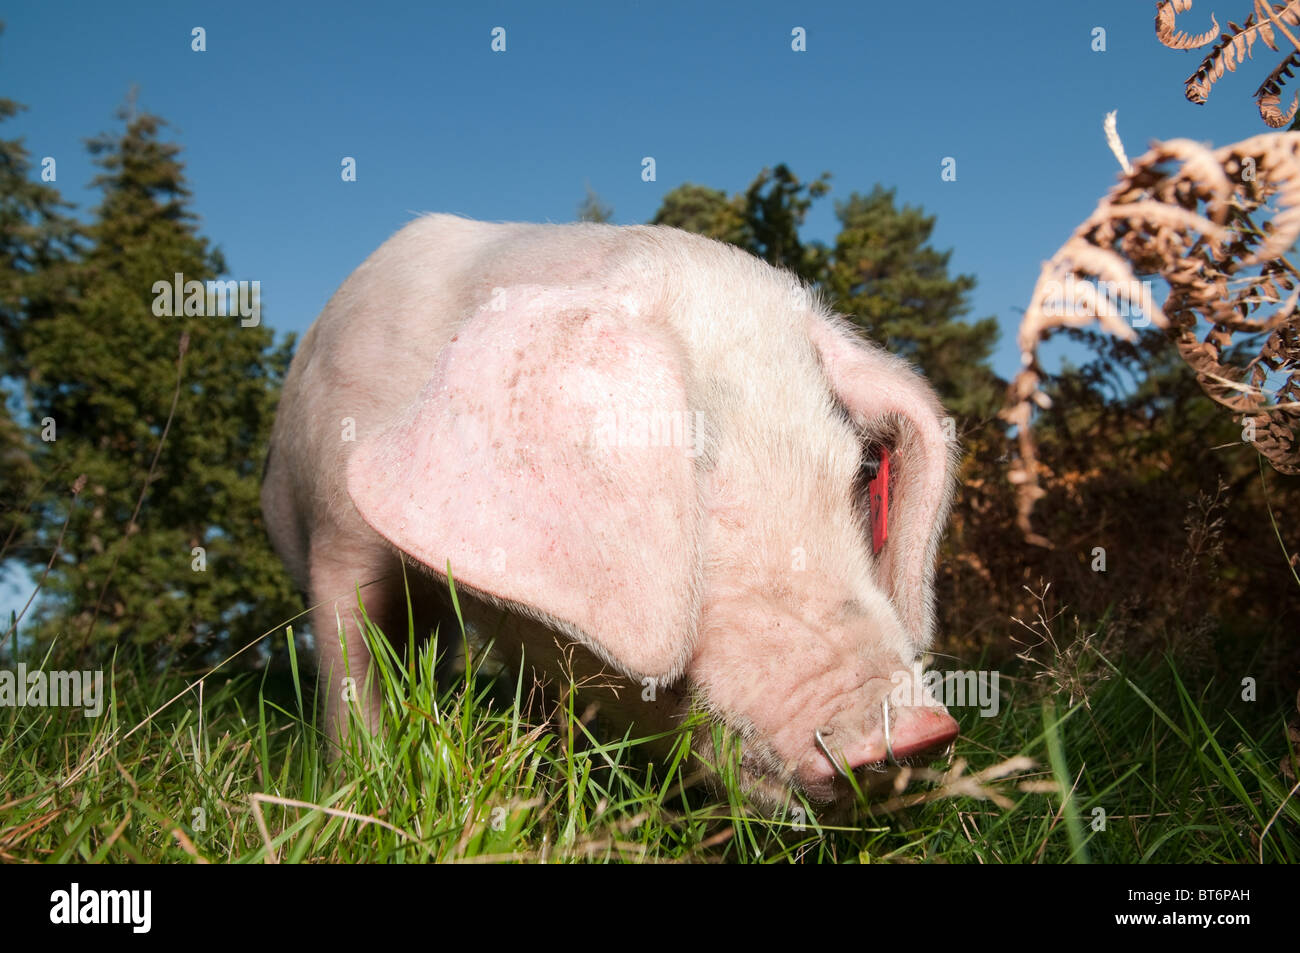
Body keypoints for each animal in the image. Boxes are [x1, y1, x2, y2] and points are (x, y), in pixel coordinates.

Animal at [258, 211, 961, 806]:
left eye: (857, 474)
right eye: (695, 474)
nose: (924, 729)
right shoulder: (337, 536)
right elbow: (353, 664)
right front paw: (357, 782)